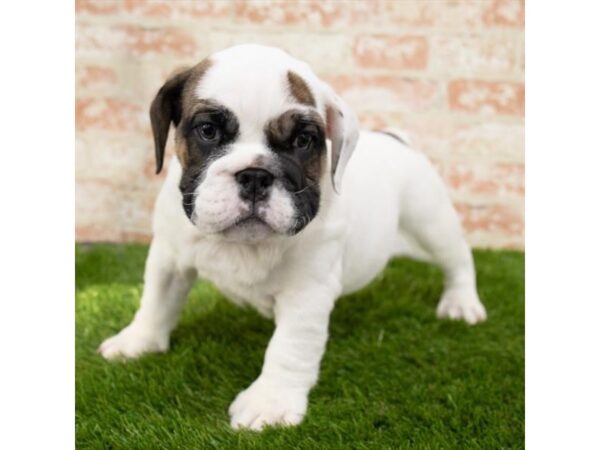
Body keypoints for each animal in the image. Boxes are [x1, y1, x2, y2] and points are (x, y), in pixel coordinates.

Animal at [97, 44, 482, 430]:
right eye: (207, 131)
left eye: (303, 140)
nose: (254, 175)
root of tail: (396, 139)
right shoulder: (169, 257)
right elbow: (156, 300)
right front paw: (139, 341)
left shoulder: (307, 292)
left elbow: (290, 347)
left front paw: (270, 402)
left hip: (431, 222)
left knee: (458, 261)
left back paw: (462, 303)